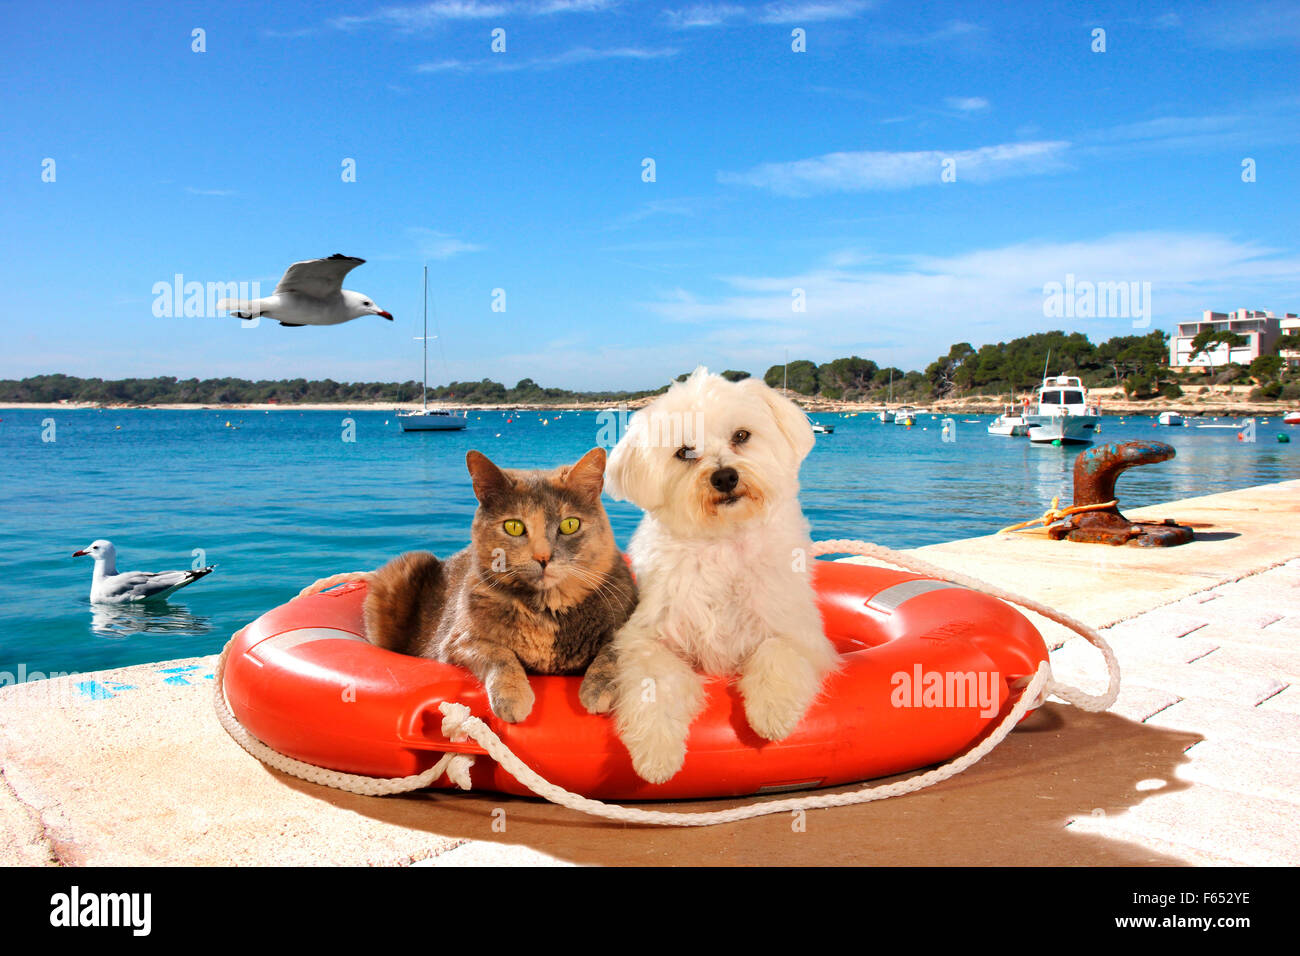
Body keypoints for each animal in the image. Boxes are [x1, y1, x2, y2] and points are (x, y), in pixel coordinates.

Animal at [364, 447, 637, 723]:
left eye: (570, 525)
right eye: (513, 526)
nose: (543, 557)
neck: (546, 609)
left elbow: (614, 650)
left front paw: (597, 689)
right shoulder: (457, 641)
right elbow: (499, 654)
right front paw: (513, 698)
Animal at [582, 369, 842, 785]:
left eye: (742, 435)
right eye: (684, 452)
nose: (724, 477)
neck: (722, 542)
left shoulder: (800, 633)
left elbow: (777, 650)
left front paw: (772, 711)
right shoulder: (647, 638)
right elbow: (656, 682)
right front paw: (657, 750)